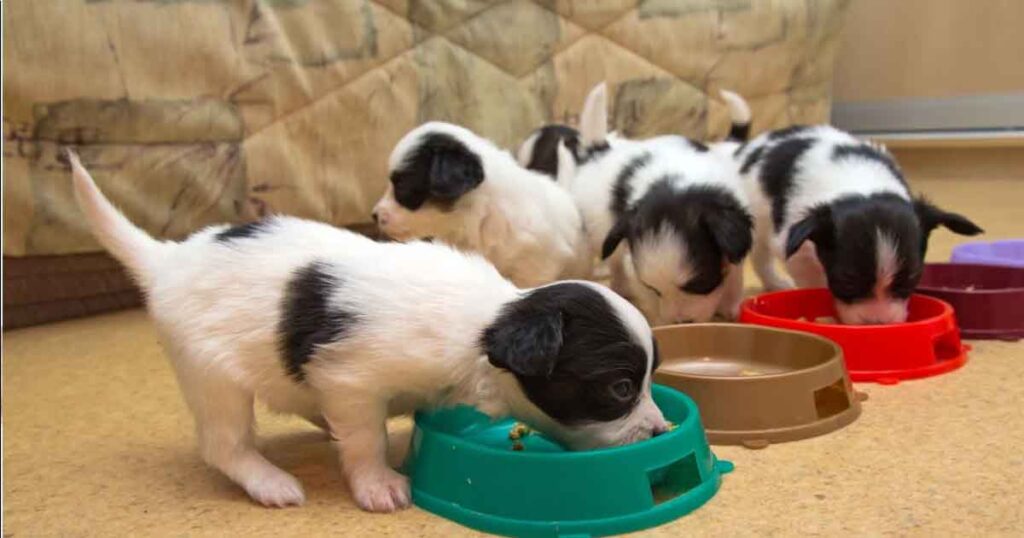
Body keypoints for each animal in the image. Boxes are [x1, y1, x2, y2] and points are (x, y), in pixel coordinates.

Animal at [66, 148, 671, 510]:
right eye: (620, 388)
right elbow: (365, 439)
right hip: (213, 376)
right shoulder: (352, 382)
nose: (660, 432)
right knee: (223, 444)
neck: (485, 325)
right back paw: (270, 481)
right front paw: (378, 484)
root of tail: (167, 260)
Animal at [561, 82, 753, 325]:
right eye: (654, 289)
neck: (677, 178)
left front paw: (731, 305)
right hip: (601, 228)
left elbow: (735, 273)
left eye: (698, 284)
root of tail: (600, 151)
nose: (681, 322)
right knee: (615, 261)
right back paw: (621, 287)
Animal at [737, 120, 983, 323]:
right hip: (760, 220)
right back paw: (775, 282)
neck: (861, 184)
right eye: (847, 281)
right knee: (760, 256)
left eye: (910, 279)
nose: (877, 324)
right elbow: (813, 281)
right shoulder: (799, 249)